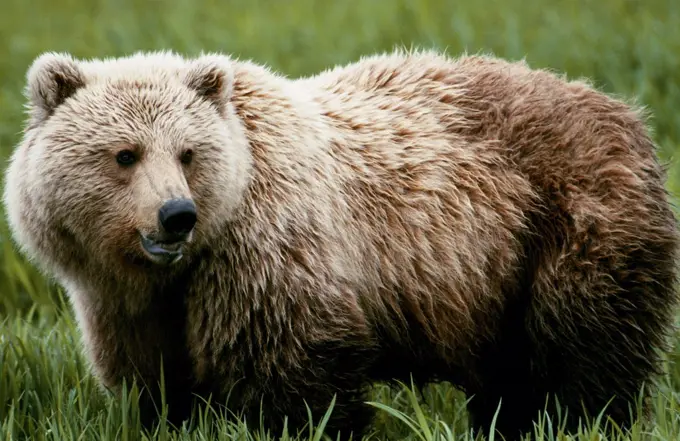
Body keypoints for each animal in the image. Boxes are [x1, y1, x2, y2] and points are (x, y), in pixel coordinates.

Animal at [5, 49, 680, 438]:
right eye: (125, 154)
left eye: (188, 153)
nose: (177, 215)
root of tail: (621, 107)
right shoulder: (127, 306)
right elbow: (156, 385)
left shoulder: (267, 253)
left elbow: (297, 380)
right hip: (500, 277)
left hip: (568, 225)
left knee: (580, 350)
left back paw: (582, 420)